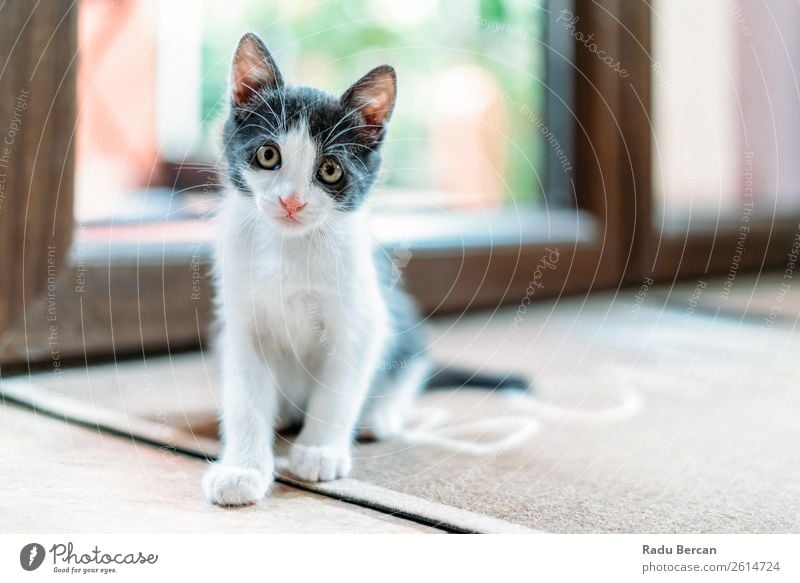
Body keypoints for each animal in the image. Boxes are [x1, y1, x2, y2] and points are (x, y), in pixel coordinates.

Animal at [203, 33, 520, 506]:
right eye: (268, 154)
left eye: (330, 169)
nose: (291, 201)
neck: (290, 250)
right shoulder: (240, 322)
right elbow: (245, 399)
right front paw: (242, 470)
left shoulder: (362, 317)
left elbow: (340, 386)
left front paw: (319, 451)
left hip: (396, 310)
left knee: (411, 366)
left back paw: (378, 415)